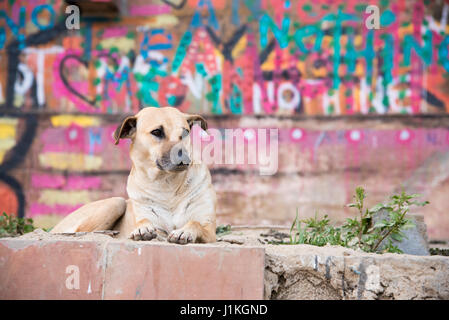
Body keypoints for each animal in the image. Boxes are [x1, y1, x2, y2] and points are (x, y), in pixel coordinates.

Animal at [50, 106, 216, 244]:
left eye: (185, 132)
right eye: (157, 132)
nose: (183, 157)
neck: (166, 183)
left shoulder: (208, 228)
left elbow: (195, 223)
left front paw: (184, 231)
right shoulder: (154, 224)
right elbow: (145, 222)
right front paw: (142, 229)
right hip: (116, 202)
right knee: (82, 232)